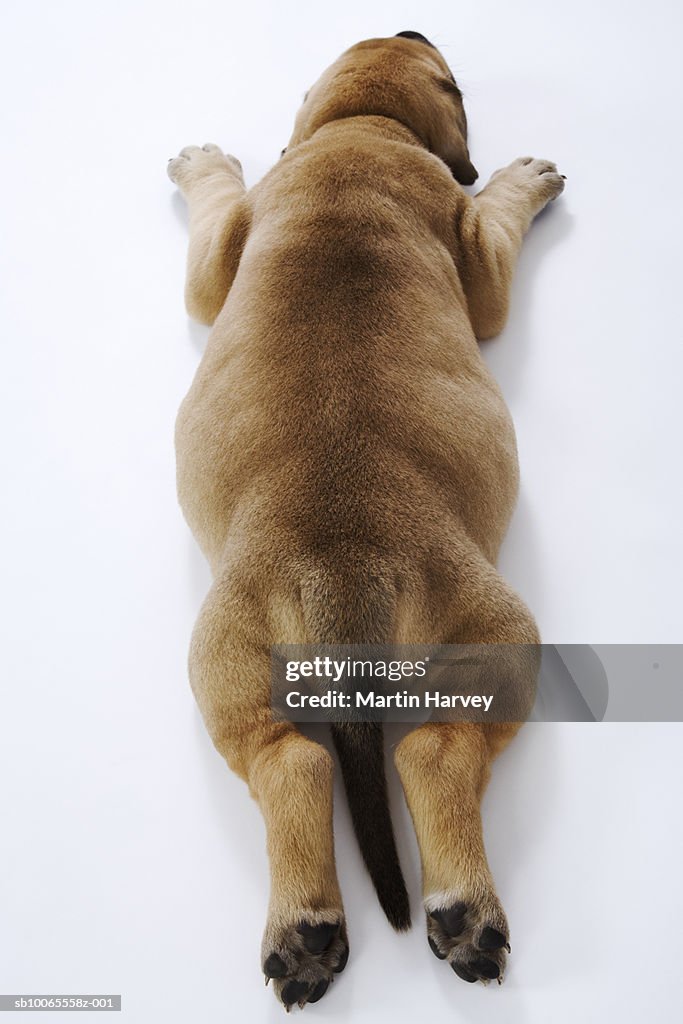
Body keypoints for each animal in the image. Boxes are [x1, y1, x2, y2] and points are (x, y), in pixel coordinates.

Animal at [167, 29, 565, 1007]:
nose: (412, 29)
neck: (358, 129)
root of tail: (342, 570)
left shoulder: (226, 246)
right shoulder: (478, 255)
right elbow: (494, 212)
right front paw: (523, 178)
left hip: (228, 663)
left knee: (296, 762)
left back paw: (313, 927)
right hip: (498, 638)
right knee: (428, 751)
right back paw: (455, 913)